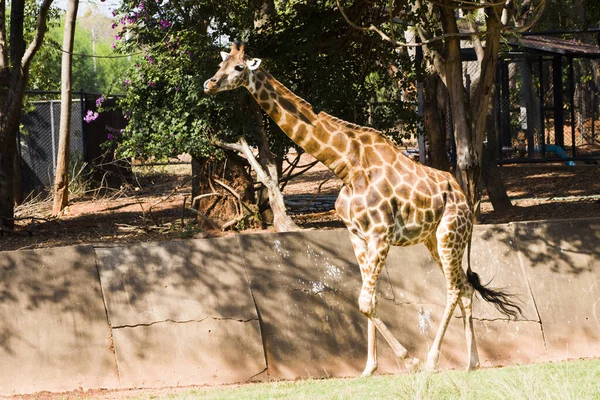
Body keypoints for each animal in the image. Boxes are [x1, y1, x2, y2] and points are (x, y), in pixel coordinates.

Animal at [205, 43, 520, 376]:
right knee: (466, 287)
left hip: (450, 234)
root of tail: (464, 197)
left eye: (239, 68)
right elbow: (371, 300)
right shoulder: (357, 235)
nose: (209, 84)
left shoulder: (381, 234)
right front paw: (369, 367)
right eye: (221, 63)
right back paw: (472, 363)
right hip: (433, 239)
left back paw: (432, 360)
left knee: (454, 289)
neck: (345, 164)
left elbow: (365, 302)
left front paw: (409, 359)